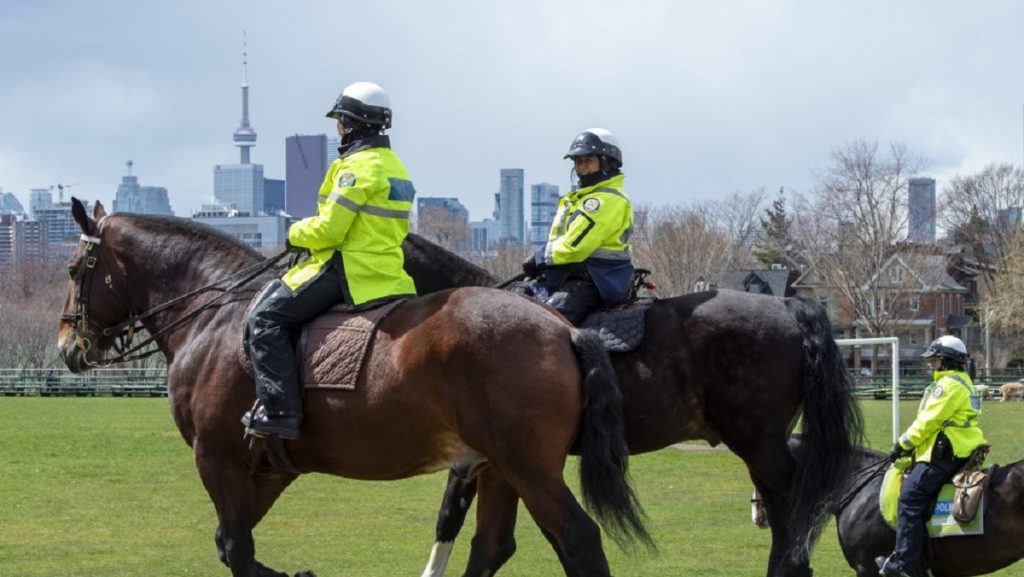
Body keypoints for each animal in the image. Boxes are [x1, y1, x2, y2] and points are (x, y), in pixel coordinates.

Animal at [56, 200, 647, 577]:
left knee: (578, 541)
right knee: (495, 546)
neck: (215, 317)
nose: (68, 347)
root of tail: (563, 326)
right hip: (500, 468)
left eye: (72, 268)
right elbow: (232, 546)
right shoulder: (267, 467)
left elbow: (237, 550)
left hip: (529, 469)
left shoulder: (217, 456)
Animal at [399, 233, 864, 577]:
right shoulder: (499, 460)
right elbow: (464, 525)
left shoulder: (490, 456)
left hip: (760, 445)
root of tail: (785, 303)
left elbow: (453, 518)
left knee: (795, 512)